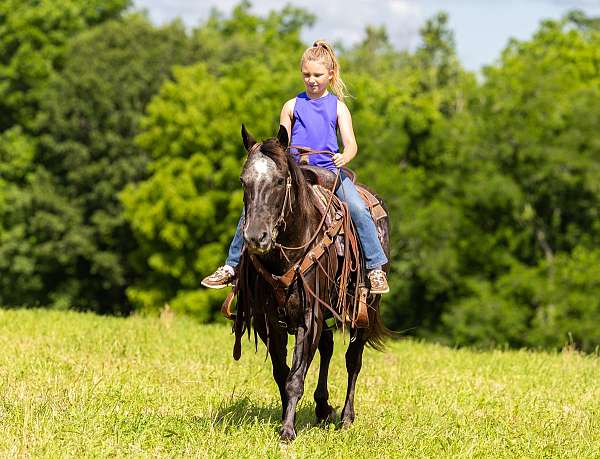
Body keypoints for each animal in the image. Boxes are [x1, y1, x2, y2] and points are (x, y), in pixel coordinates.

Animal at [225, 123, 390, 442]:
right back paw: (323, 408)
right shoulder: (268, 321)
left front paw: (287, 430)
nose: (255, 237)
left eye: (279, 180)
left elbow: (295, 377)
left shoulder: (309, 315)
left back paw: (346, 418)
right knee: (327, 346)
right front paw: (287, 418)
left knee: (353, 360)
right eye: (243, 181)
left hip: (366, 309)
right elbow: (282, 372)